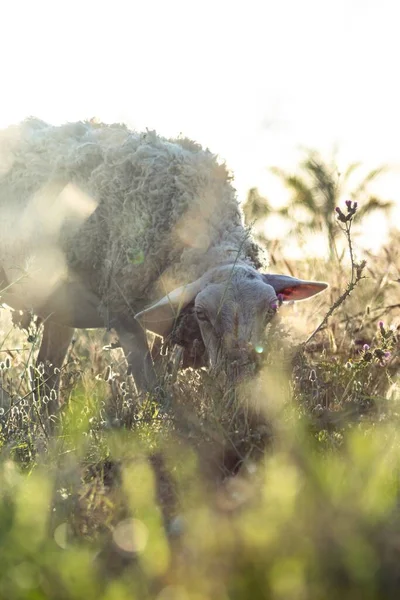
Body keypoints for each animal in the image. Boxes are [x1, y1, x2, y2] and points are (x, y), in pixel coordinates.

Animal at [0, 116, 326, 408]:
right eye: (202, 314)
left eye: (272, 310)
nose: (240, 376)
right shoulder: (123, 313)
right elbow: (153, 392)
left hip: (60, 306)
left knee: (44, 379)